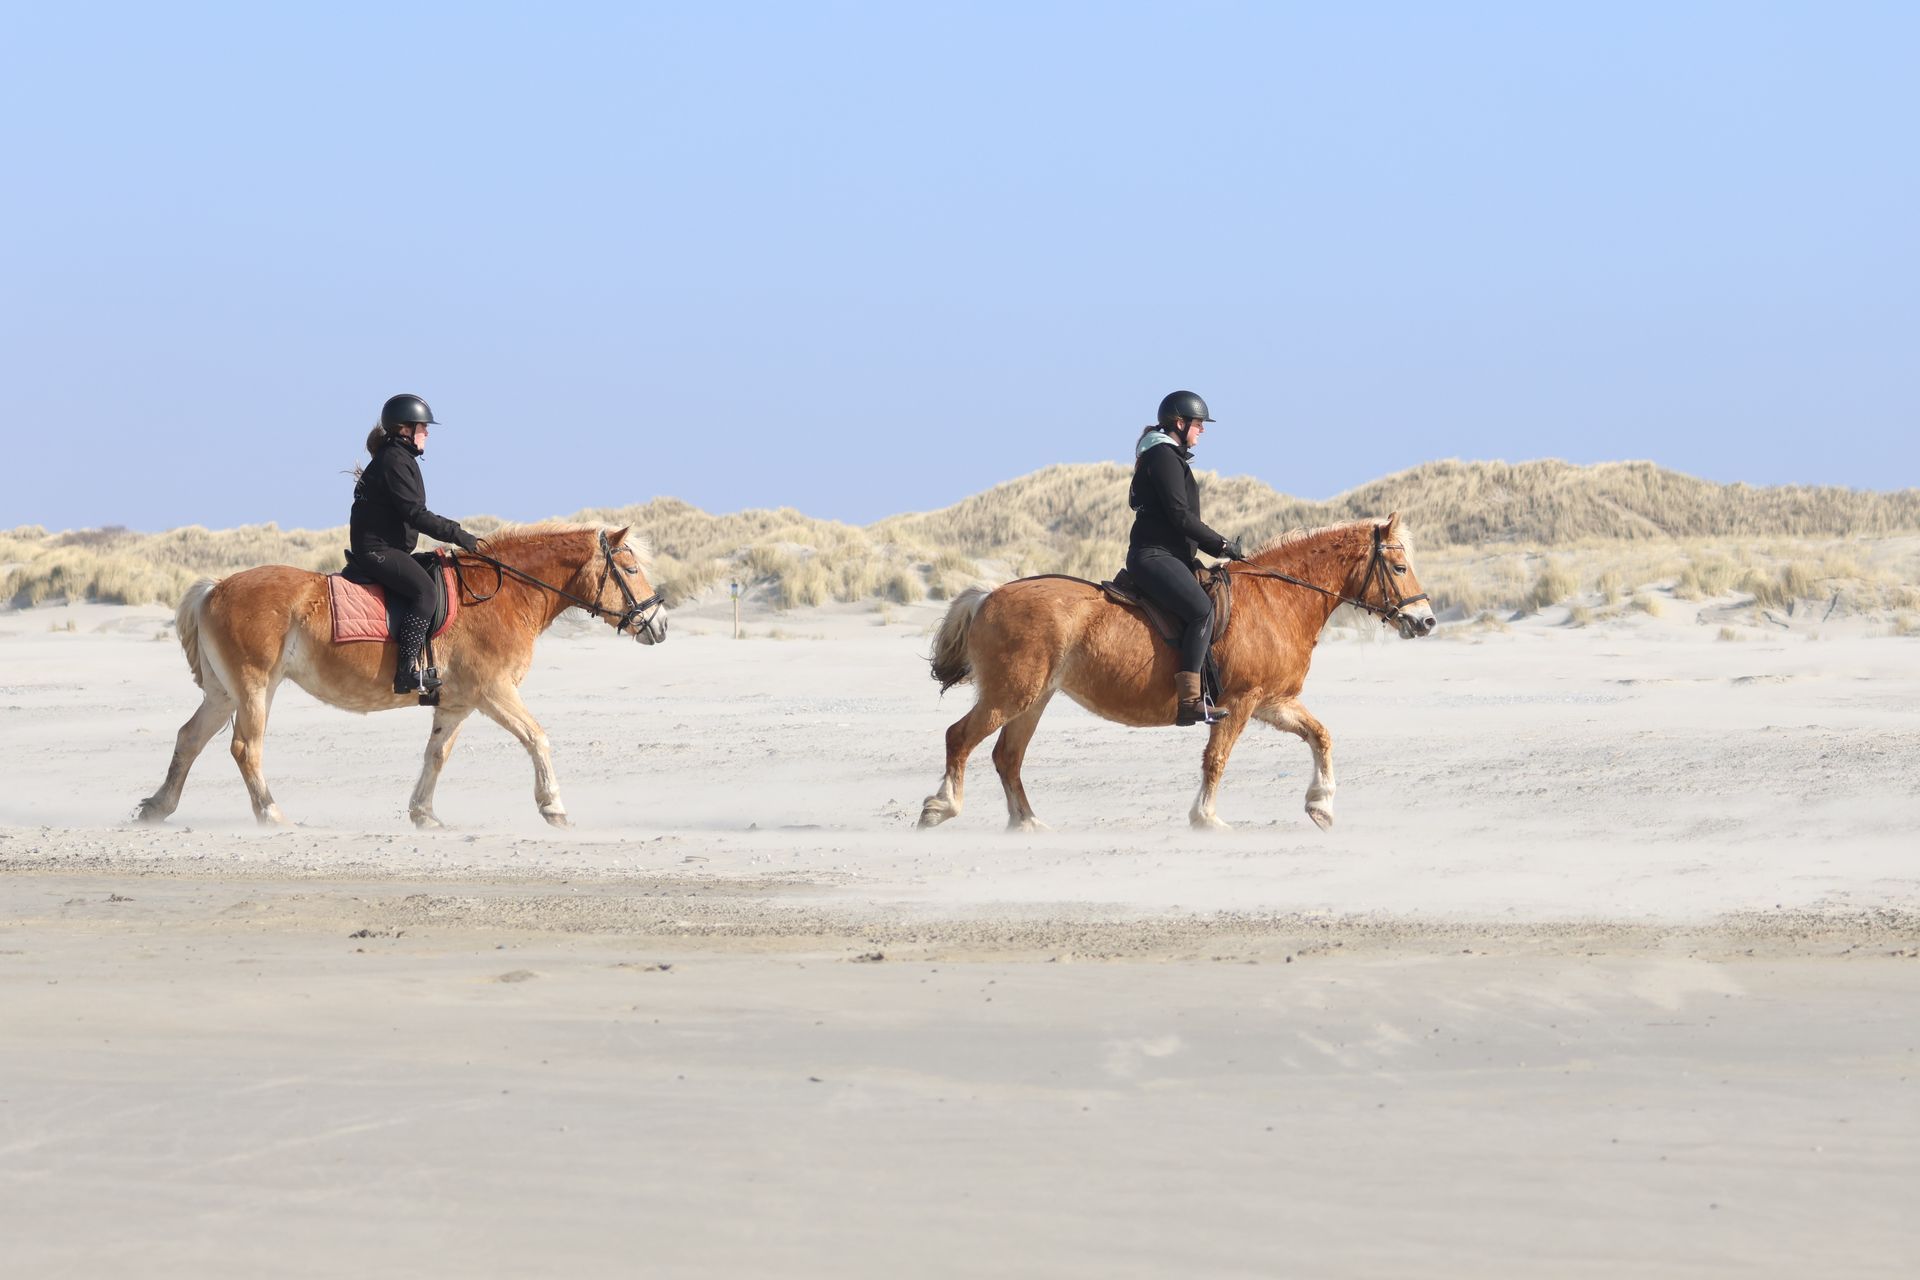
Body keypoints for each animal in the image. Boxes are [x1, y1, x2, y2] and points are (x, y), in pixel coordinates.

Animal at [136, 524, 666, 830]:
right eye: (630, 568)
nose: (658, 624)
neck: (506, 594)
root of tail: (216, 587)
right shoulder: (494, 692)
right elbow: (537, 737)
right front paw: (553, 806)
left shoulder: (457, 702)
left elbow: (436, 755)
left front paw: (423, 814)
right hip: (254, 689)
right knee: (245, 748)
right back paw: (271, 814)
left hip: (224, 693)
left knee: (189, 738)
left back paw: (158, 807)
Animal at [917, 513, 1436, 832]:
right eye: (1399, 566)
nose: (1426, 621)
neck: (1278, 600)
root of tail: (989, 594)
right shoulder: (1240, 703)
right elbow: (1216, 760)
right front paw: (1206, 819)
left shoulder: (1273, 702)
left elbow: (1321, 736)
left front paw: (1321, 805)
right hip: (1010, 695)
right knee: (959, 738)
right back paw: (941, 807)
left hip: (1034, 699)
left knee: (1008, 756)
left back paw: (1026, 823)